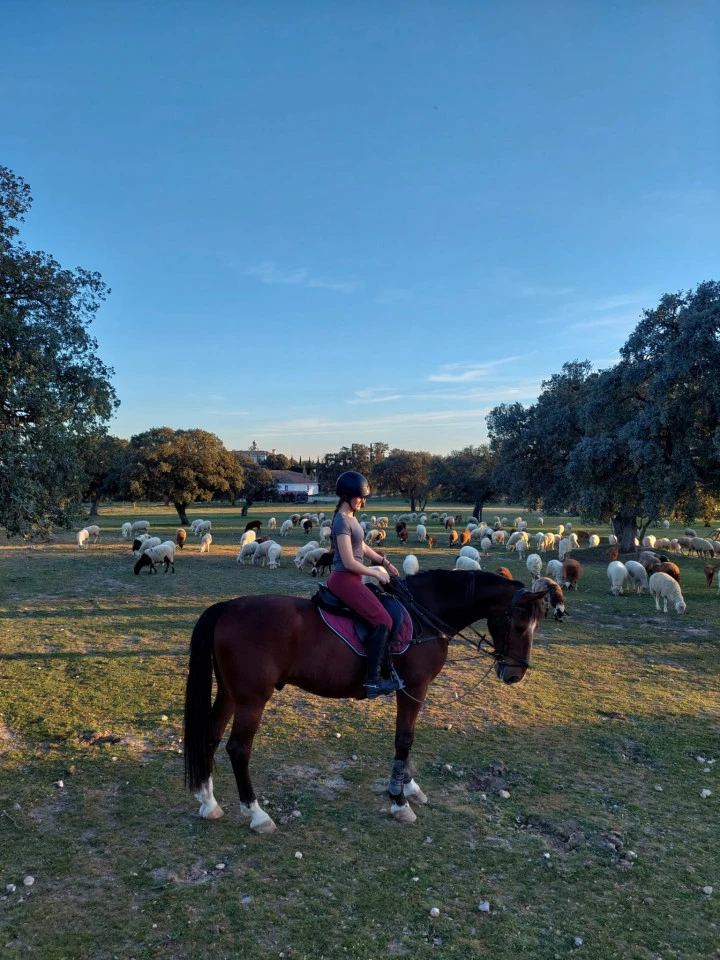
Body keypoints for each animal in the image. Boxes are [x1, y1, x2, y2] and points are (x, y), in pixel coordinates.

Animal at [183, 568, 548, 832]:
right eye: (518, 625)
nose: (516, 674)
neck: (423, 614)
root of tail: (228, 606)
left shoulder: (410, 689)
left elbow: (406, 741)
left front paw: (409, 787)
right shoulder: (414, 687)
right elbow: (404, 739)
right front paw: (399, 801)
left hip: (231, 693)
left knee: (210, 736)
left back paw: (208, 801)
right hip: (252, 700)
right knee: (238, 749)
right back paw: (257, 814)